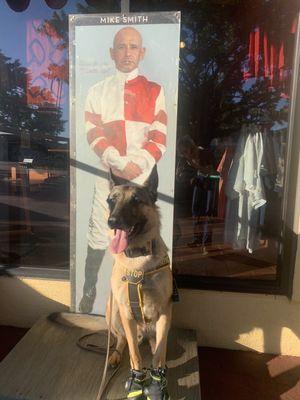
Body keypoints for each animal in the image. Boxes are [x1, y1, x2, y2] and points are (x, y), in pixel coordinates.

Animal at [106, 169, 172, 400]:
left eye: (136, 200)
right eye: (111, 200)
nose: (113, 221)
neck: (139, 262)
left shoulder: (165, 311)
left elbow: (160, 353)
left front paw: (158, 382)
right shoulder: (126, 313)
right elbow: (134, 353)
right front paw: (137, 382)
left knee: (155, 341)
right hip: (113, 311)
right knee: (122, 339)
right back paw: (116, 355)